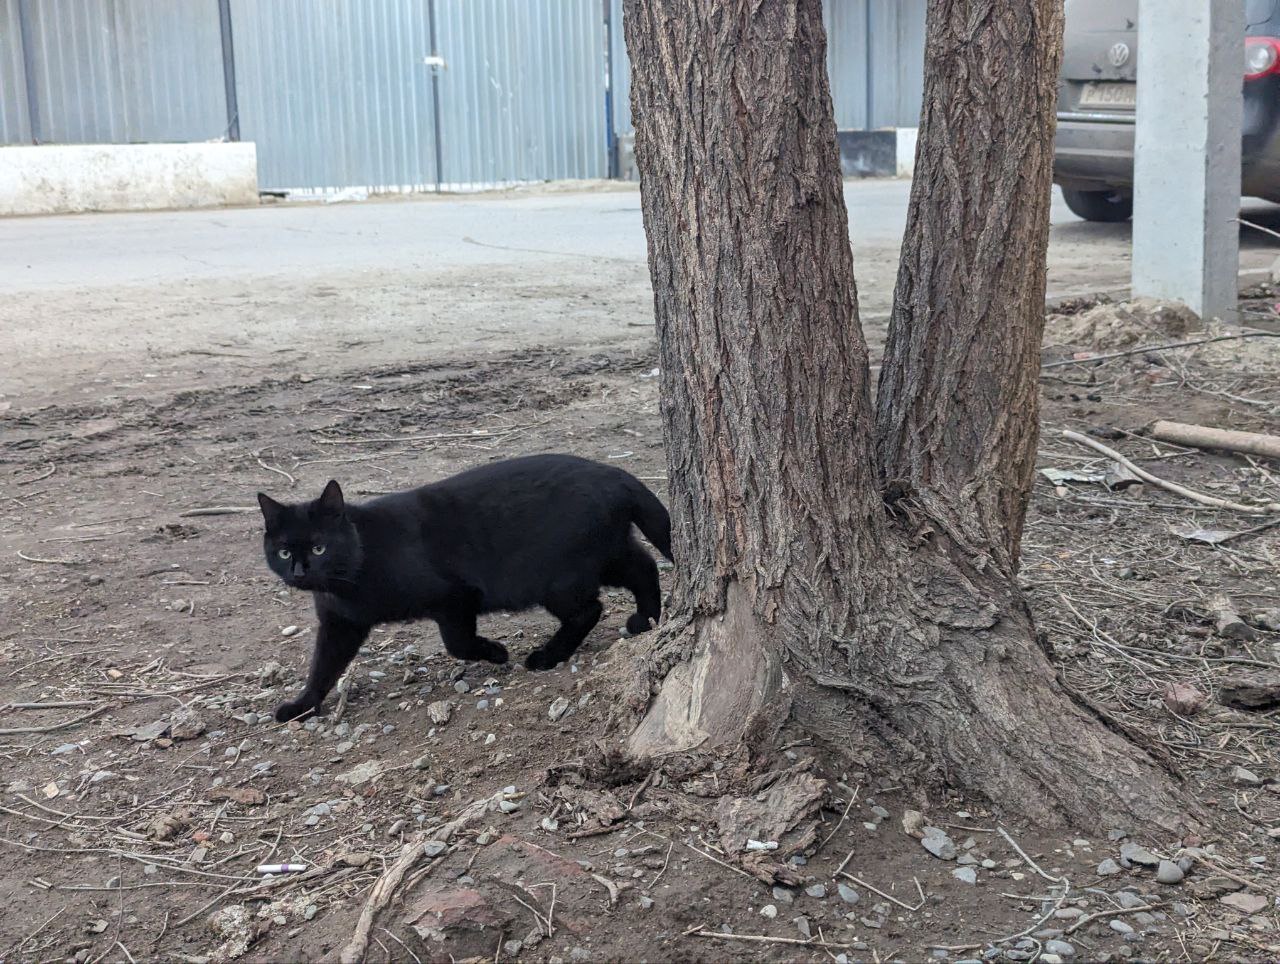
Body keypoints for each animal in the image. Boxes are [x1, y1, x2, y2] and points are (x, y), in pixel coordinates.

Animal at [252, 455, 670, 716]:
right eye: (285, 551)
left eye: (319, 547)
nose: (301, 571)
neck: (351, 577)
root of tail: (612, 473)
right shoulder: (340, 625)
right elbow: (322, 666)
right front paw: (301, 705)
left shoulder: (455, 598)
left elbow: (458, 643)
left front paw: (497, 653)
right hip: (609, 555)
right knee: (645, 568)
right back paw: (646, 621)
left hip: (560, 579)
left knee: (590, 608)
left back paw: (546, 656)